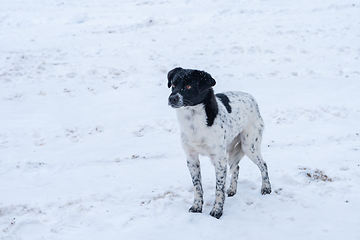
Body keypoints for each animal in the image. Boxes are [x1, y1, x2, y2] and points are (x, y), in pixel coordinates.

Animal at [167, 66, 272, 218]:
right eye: (174, 84)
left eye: (188, 86)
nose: (172, 98)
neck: (194, 121)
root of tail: (250, 97)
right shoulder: (191, 158)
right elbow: (197, 186)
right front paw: (197, 206)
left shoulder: (219, 160)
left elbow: (219, 188)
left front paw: (217, 211)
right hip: (231, 148)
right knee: (236, 167)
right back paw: (232, 189)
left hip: (249, 145)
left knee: (263, 165)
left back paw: (266, 187)